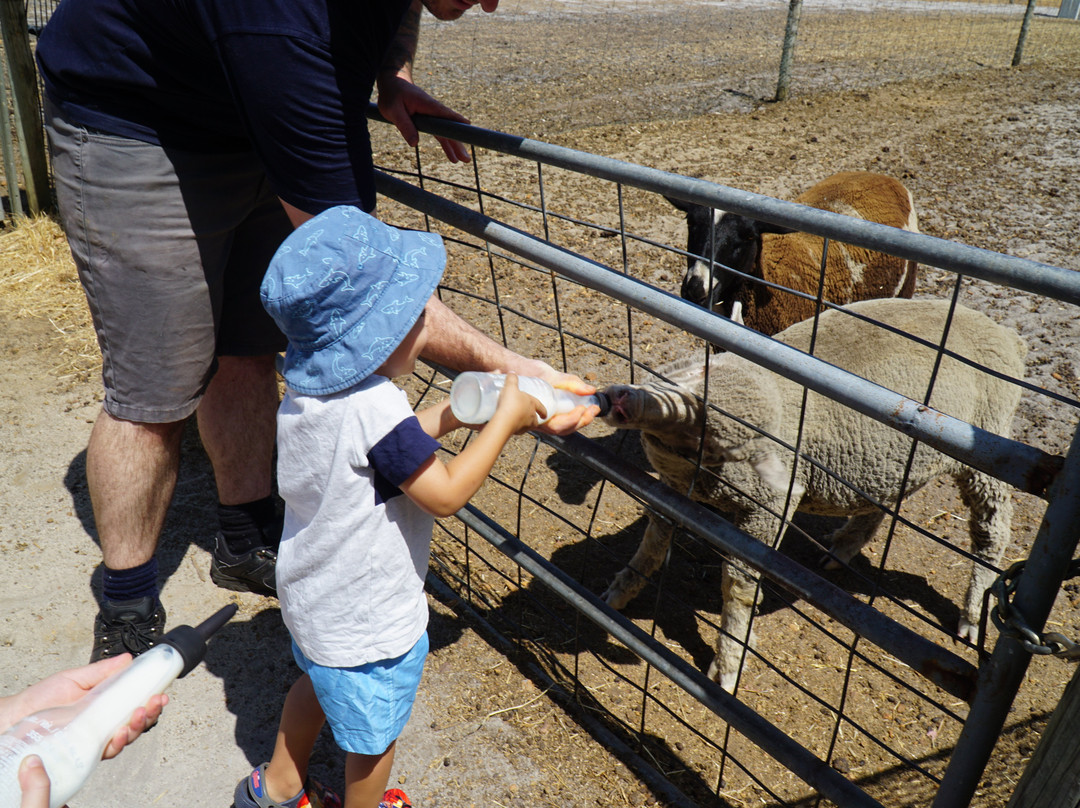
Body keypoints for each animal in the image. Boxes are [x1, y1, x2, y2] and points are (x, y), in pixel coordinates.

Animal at [604, 300, 1023, 691]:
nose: (620, 398)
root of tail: (1005, 334)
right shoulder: (672, 488)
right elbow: (652, 542)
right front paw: (619, 592)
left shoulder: (768, 506)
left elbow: (738, 586)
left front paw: (728, 663)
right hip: (889, 457)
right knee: (880, 500)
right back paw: (841, 550)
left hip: (984, 448)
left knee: (992, 528)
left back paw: (972, 613)